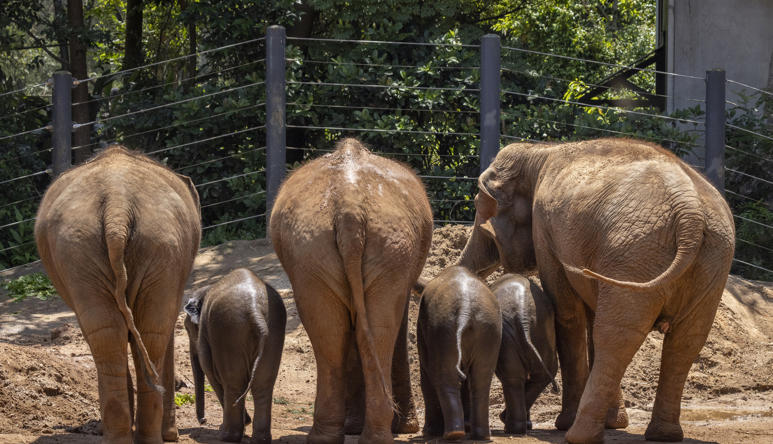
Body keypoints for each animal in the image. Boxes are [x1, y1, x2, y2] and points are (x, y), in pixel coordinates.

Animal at [34, 145, 201, 444]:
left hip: (108, 248)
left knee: (118, 332)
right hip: (144, 246)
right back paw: (139, 436)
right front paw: (171, 435)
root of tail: (117, 207)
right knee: (138, 331)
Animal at [183, 268, 286, 444]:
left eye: (188, 330)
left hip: (228, 330)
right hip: (273, 329)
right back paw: (260, 439)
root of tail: (255, 310)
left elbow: (209, 370)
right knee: (263, 384)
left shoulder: (205, 332)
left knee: (233, 382)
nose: (203, 421)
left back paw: (226, 436)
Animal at [270, 138, 433, 444]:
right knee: (360, 332)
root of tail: (350, 206)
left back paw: (342, 436)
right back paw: (360, 434)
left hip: (332, 248)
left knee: (338, 332)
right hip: (365, 247)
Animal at [416, 265, 502, 441]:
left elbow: (426, 375)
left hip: (443, 330)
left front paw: (429, 432)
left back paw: (452, 434)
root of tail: (465, 310)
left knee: (445, 377)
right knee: (481, 379)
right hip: (488, 329)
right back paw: (480, 435)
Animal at [492, 273, 558, 435]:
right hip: (543, 333)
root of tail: (523, 319)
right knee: (539, 375)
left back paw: (510, 426)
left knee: (513, 378)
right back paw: (515, 427)